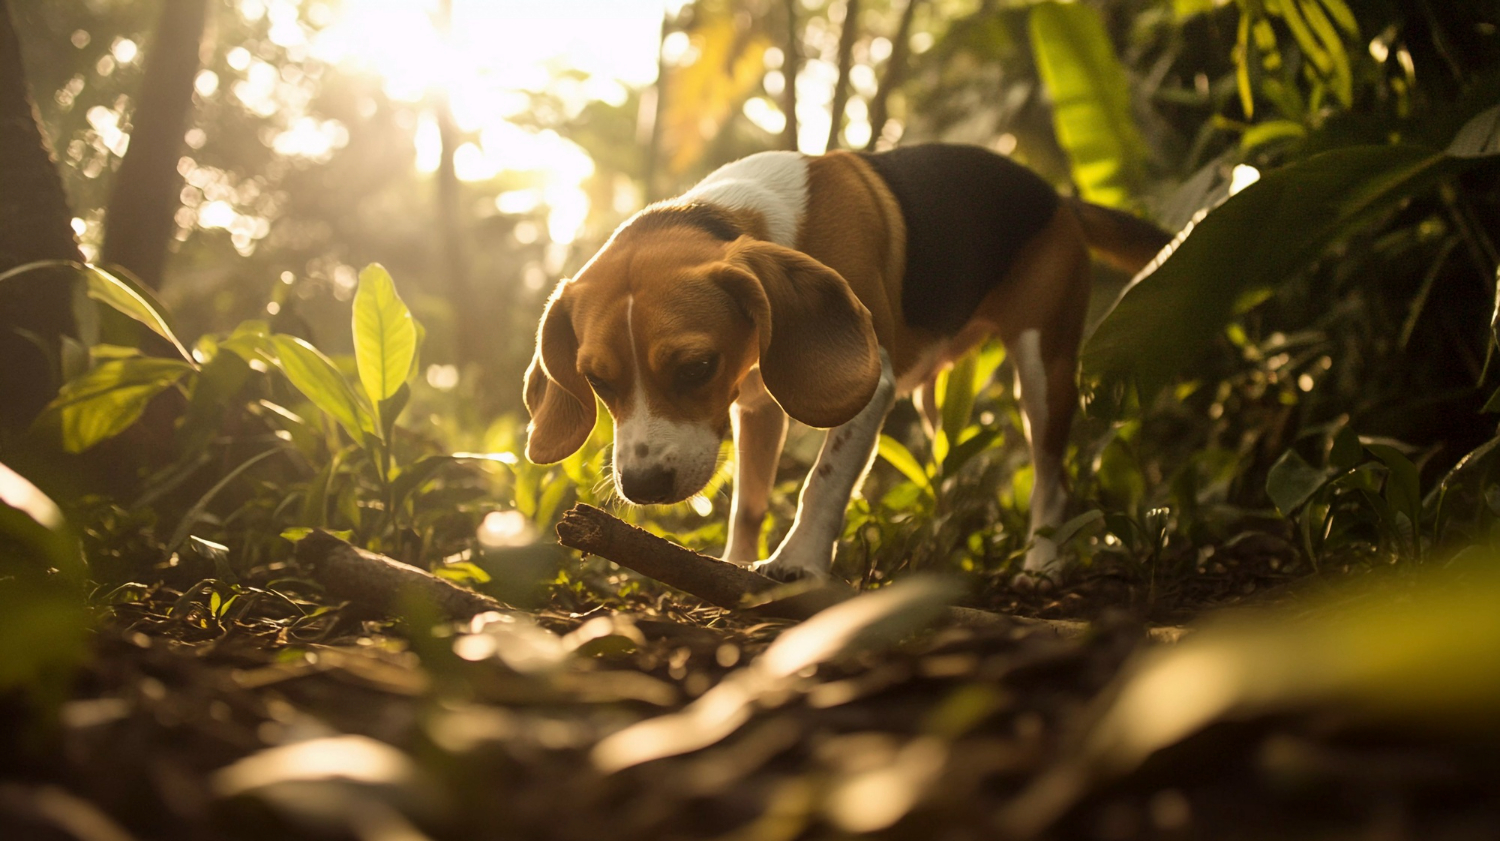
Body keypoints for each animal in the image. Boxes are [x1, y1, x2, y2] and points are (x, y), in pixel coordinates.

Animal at [528, 143, 1170, 575]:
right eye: (596, 380)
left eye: (696, 368)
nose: (641, 485)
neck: (736, 221)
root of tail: (1059, 197)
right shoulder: (757, 407)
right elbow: (748, 503)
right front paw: (734, 565)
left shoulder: (871, 384)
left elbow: (823, 480)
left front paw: (795, 565)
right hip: (936, 400)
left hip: (1044, 370)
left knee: (1050, 477)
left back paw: (1042, 561)